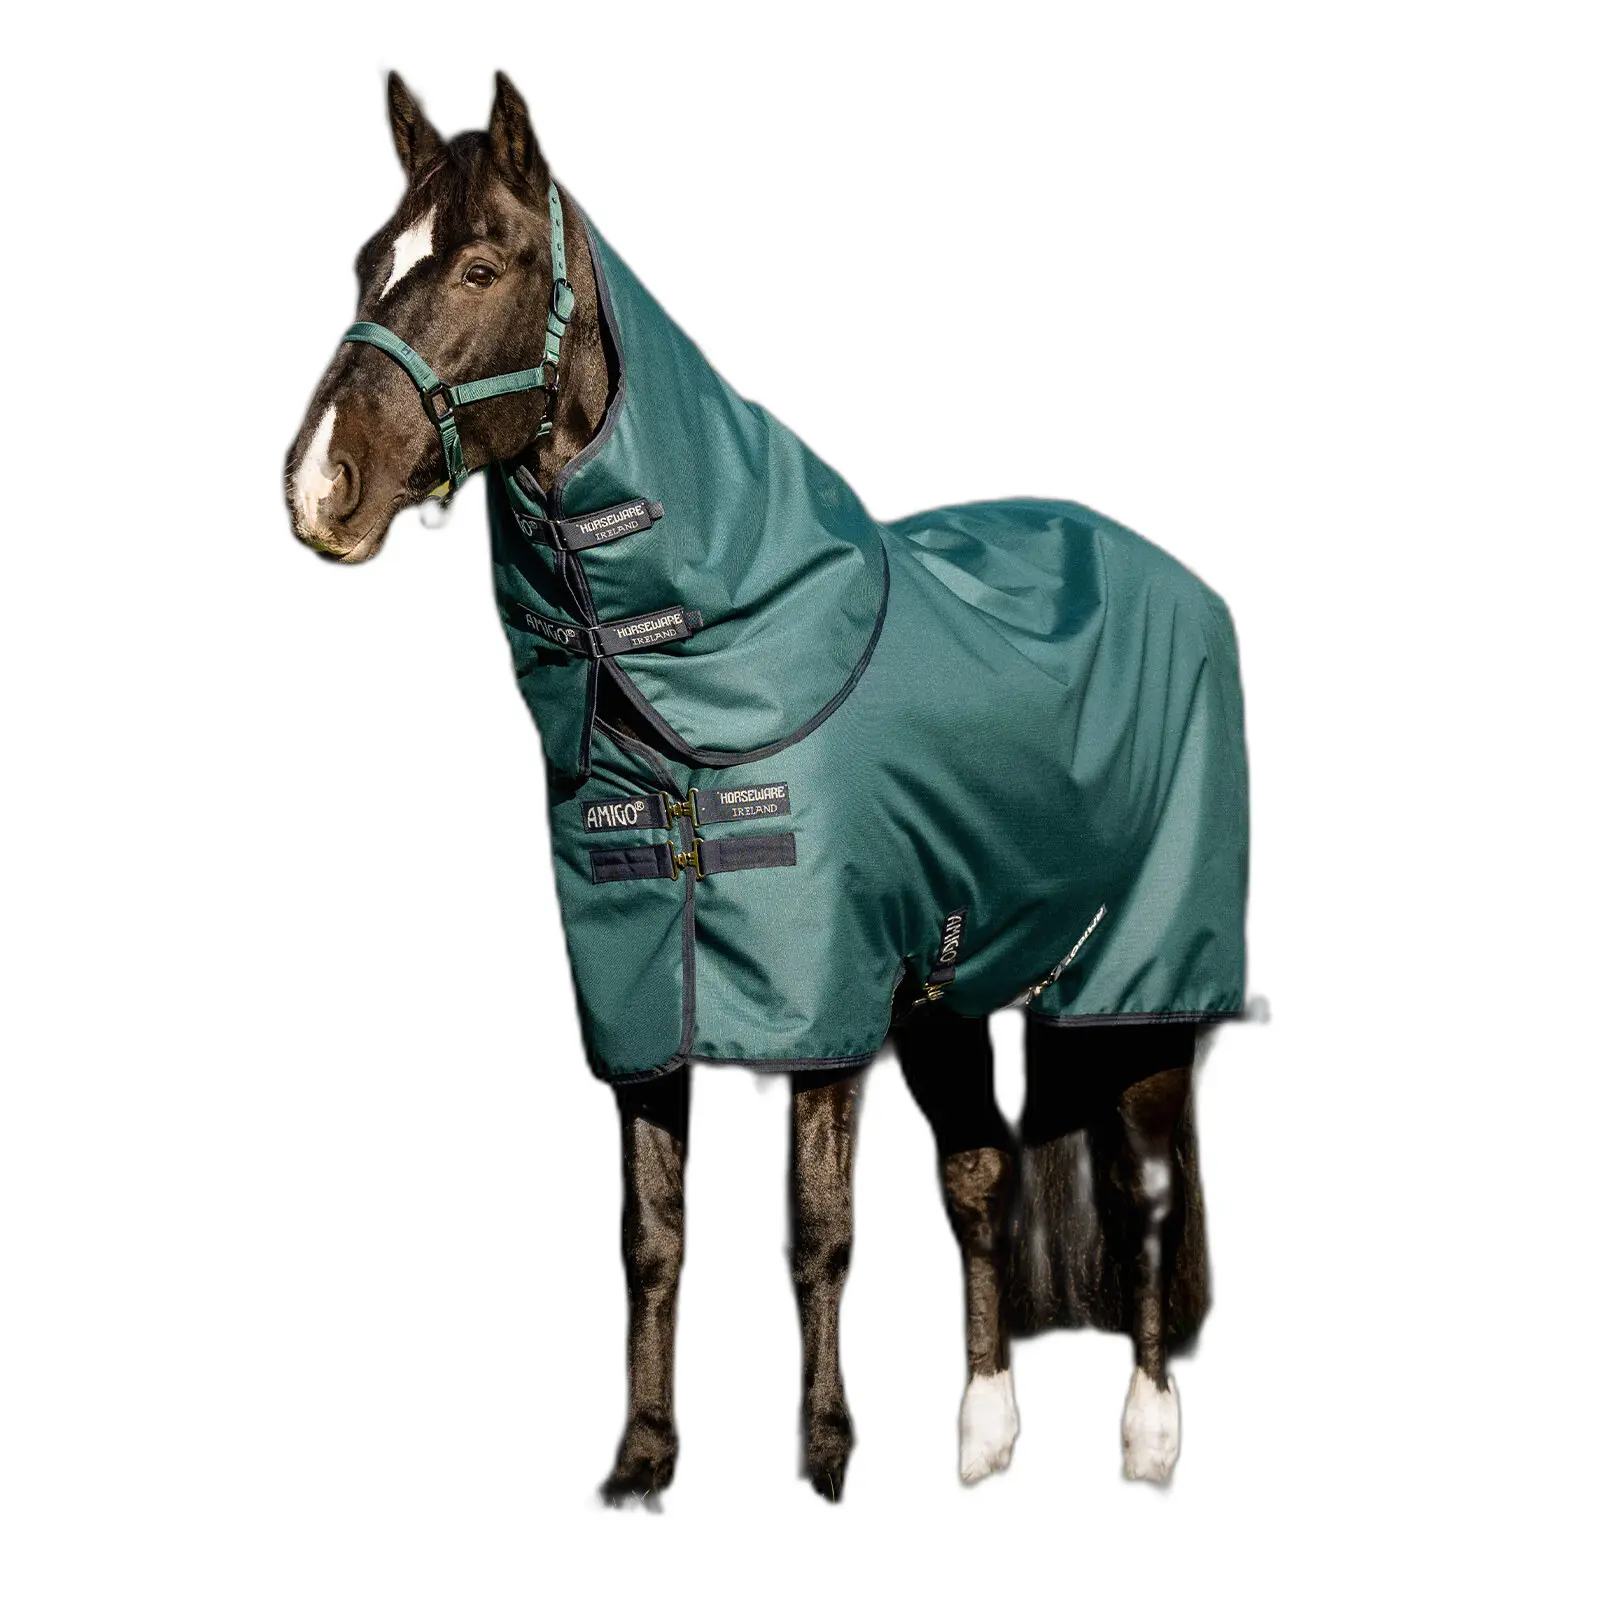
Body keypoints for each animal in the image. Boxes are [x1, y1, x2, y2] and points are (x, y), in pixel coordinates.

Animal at [284, 72, 1246, 1504]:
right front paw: (642, 1462)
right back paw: (984, 1430)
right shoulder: (642, 1000)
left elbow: (817, 1231)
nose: (317, 487)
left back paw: (1146, 1435)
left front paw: (828, 1459)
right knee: (982, 1172)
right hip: (953, 986)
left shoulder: (822, 1008)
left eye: (478, 265)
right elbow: (652, 1234)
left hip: (1139, 981)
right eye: (364, 261)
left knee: (1143, 1185)